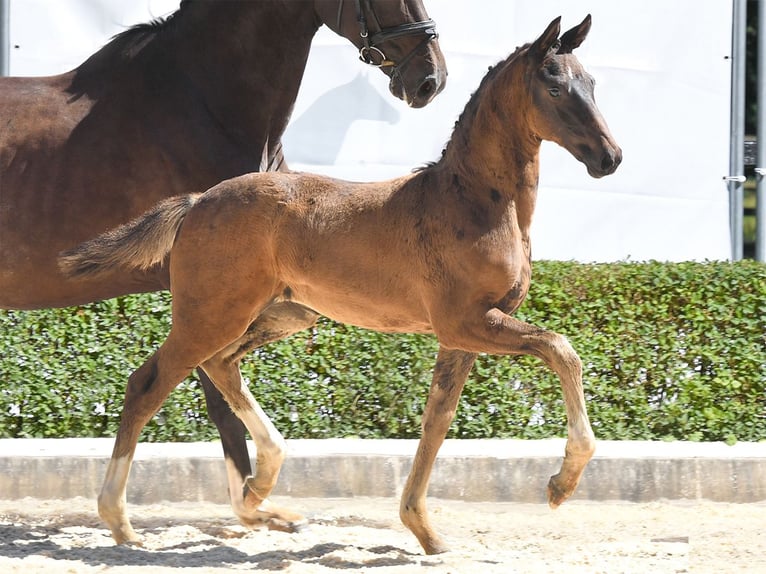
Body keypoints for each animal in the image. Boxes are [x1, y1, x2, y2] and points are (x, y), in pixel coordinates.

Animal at [0, 0, 448, 532]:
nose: (430, 79)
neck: (203, 104)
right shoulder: (212, 290)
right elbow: (214, 395)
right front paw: (253, 501)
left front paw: (261, 501)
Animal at [61, 15, 624, 560]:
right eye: (555, 88)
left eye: (593, 84)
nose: (610, 157)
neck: (470, 201)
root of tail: (198, 202)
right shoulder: (467, 322)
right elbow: (561, 349)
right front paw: (561, 483)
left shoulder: (460, 336)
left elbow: (436, 422)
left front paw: (425, 532)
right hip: (213, 314)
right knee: (148, 383)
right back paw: (121, 521)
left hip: (281, 313)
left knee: (220, 365)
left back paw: (260, 490)